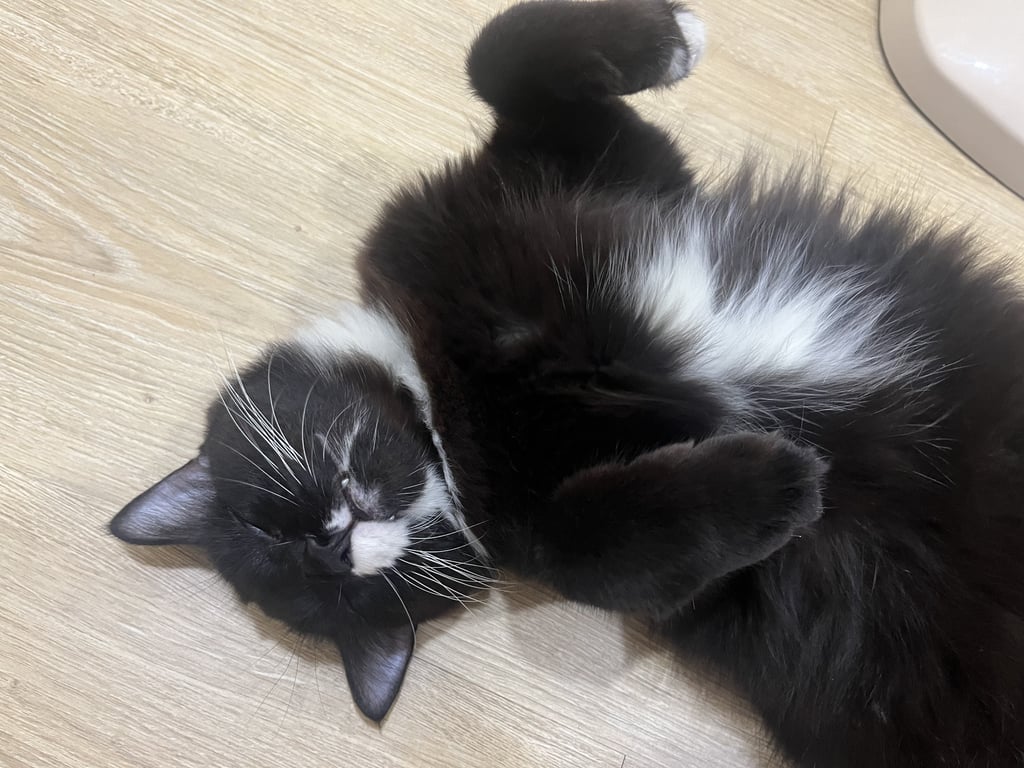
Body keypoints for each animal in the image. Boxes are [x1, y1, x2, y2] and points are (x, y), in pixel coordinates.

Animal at [109, 1, 1024, 765]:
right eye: (329, 585)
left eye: (268, 528)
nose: (337, 545)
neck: (438, 387)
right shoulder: (540, 531)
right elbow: (609, 547)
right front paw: (780, 480)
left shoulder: (612, 178)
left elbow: (497, 53)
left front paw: (666, 37)